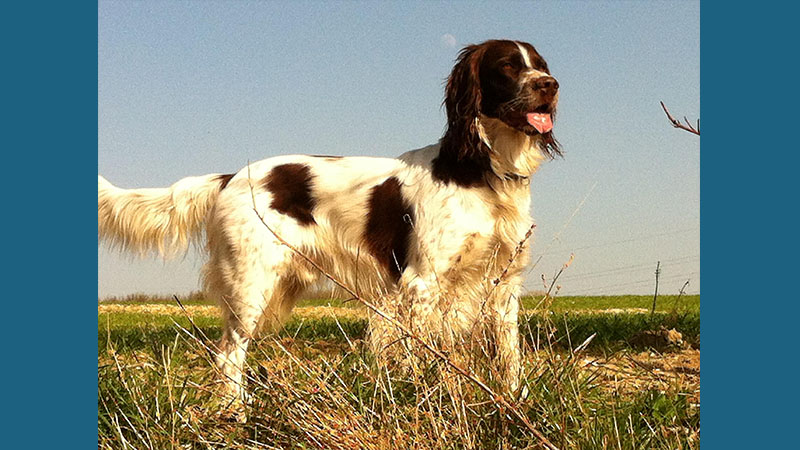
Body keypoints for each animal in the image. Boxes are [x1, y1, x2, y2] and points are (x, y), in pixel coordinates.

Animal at [98, 39, 564, 404]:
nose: (550, 85)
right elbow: (426, 357)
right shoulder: (423, 284)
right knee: (228, 355)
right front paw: (430, 400)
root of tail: (231, 176)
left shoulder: (503, 285)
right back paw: (235, 415)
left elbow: (510, 359)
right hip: (250, 287)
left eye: (540, 63)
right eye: (507, 66)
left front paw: (515, 404)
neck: (482, 170)